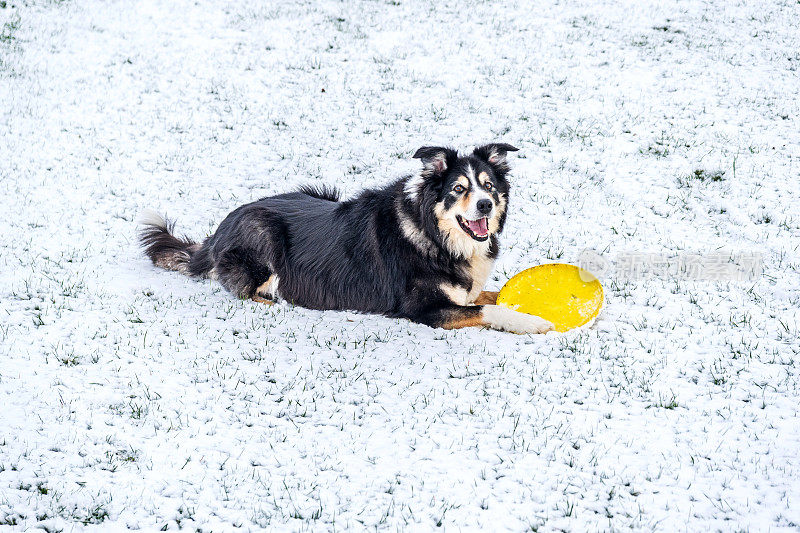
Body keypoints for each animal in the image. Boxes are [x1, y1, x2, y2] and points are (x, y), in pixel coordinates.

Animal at [139, 141, 552, 332]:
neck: (434, 235)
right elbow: (487, 309)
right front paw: (535, 323)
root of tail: (217, 232)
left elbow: (492, 294)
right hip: (263, 233)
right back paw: (280, 303)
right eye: (458, 189)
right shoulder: (424, 309)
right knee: (249, 291)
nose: (485, 205)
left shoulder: (463, 291)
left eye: (488, 186)